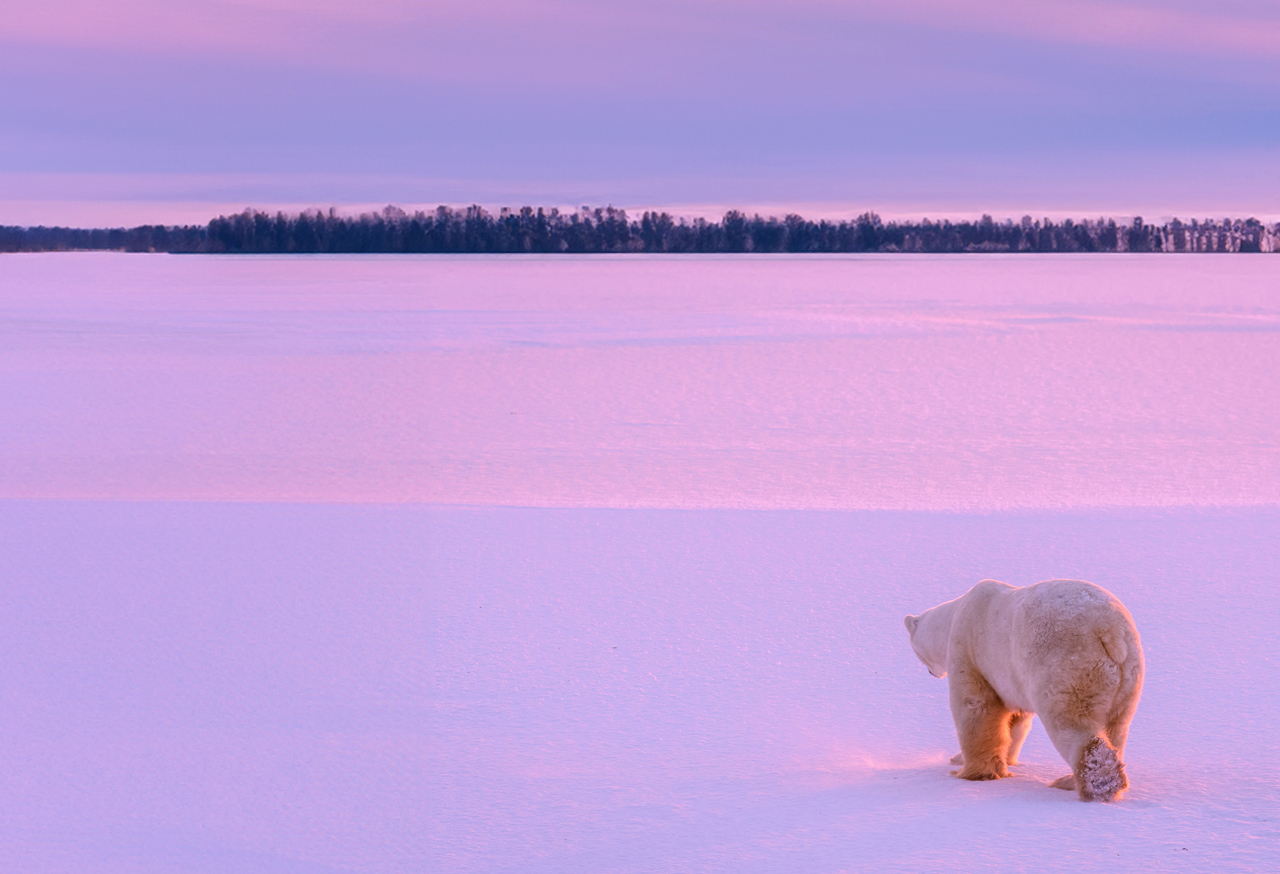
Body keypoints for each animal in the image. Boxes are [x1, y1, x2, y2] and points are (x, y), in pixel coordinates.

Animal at [904, 579, 1143, 802]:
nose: (931, 673)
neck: (954, 615)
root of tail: (1110, 630)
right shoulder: (1012, 677)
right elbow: (1015, 721)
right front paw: (998, 761)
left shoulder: (970, 650)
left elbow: (975, 706)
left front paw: (971, 772)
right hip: (1128, 677)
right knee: (1116, 727)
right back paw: (1073, 780)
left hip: (1067, 664)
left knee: (1070, 722)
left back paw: (1093, 785)